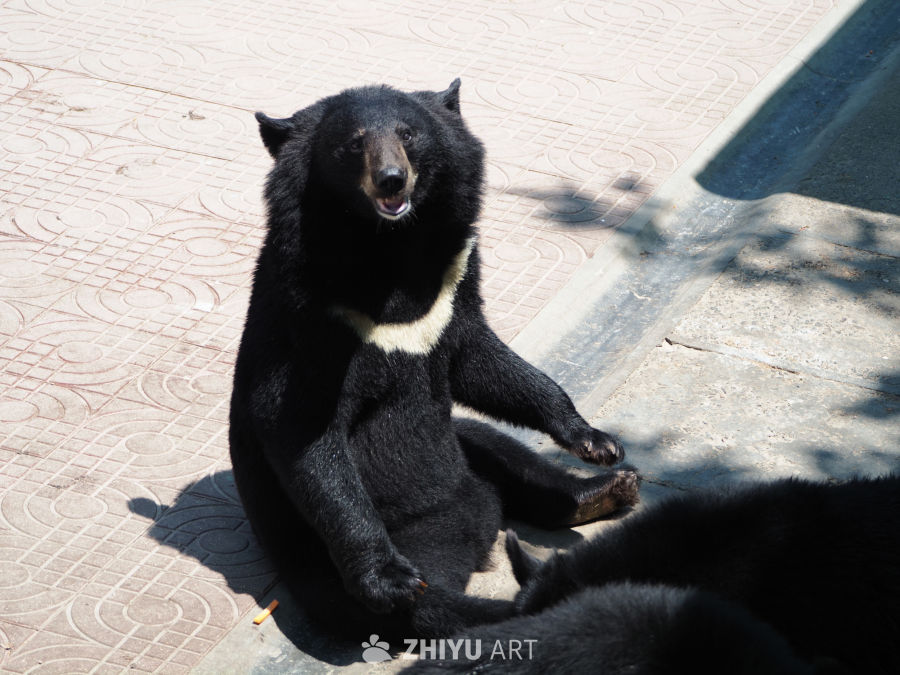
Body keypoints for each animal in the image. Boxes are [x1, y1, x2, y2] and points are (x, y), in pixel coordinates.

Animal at [228, 79, 640, 644]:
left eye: (408, 134)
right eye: (353, 143)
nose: (391, 178)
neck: (390, 246)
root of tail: (479, 534)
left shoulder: (453, 281)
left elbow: (481, 361)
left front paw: (596, 440)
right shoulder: (309, 316)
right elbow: (302, 429)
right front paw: (387, 577)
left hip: (464, 449)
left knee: (503, 451)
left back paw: (607, 490)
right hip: (344, 558)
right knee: (424, 608)